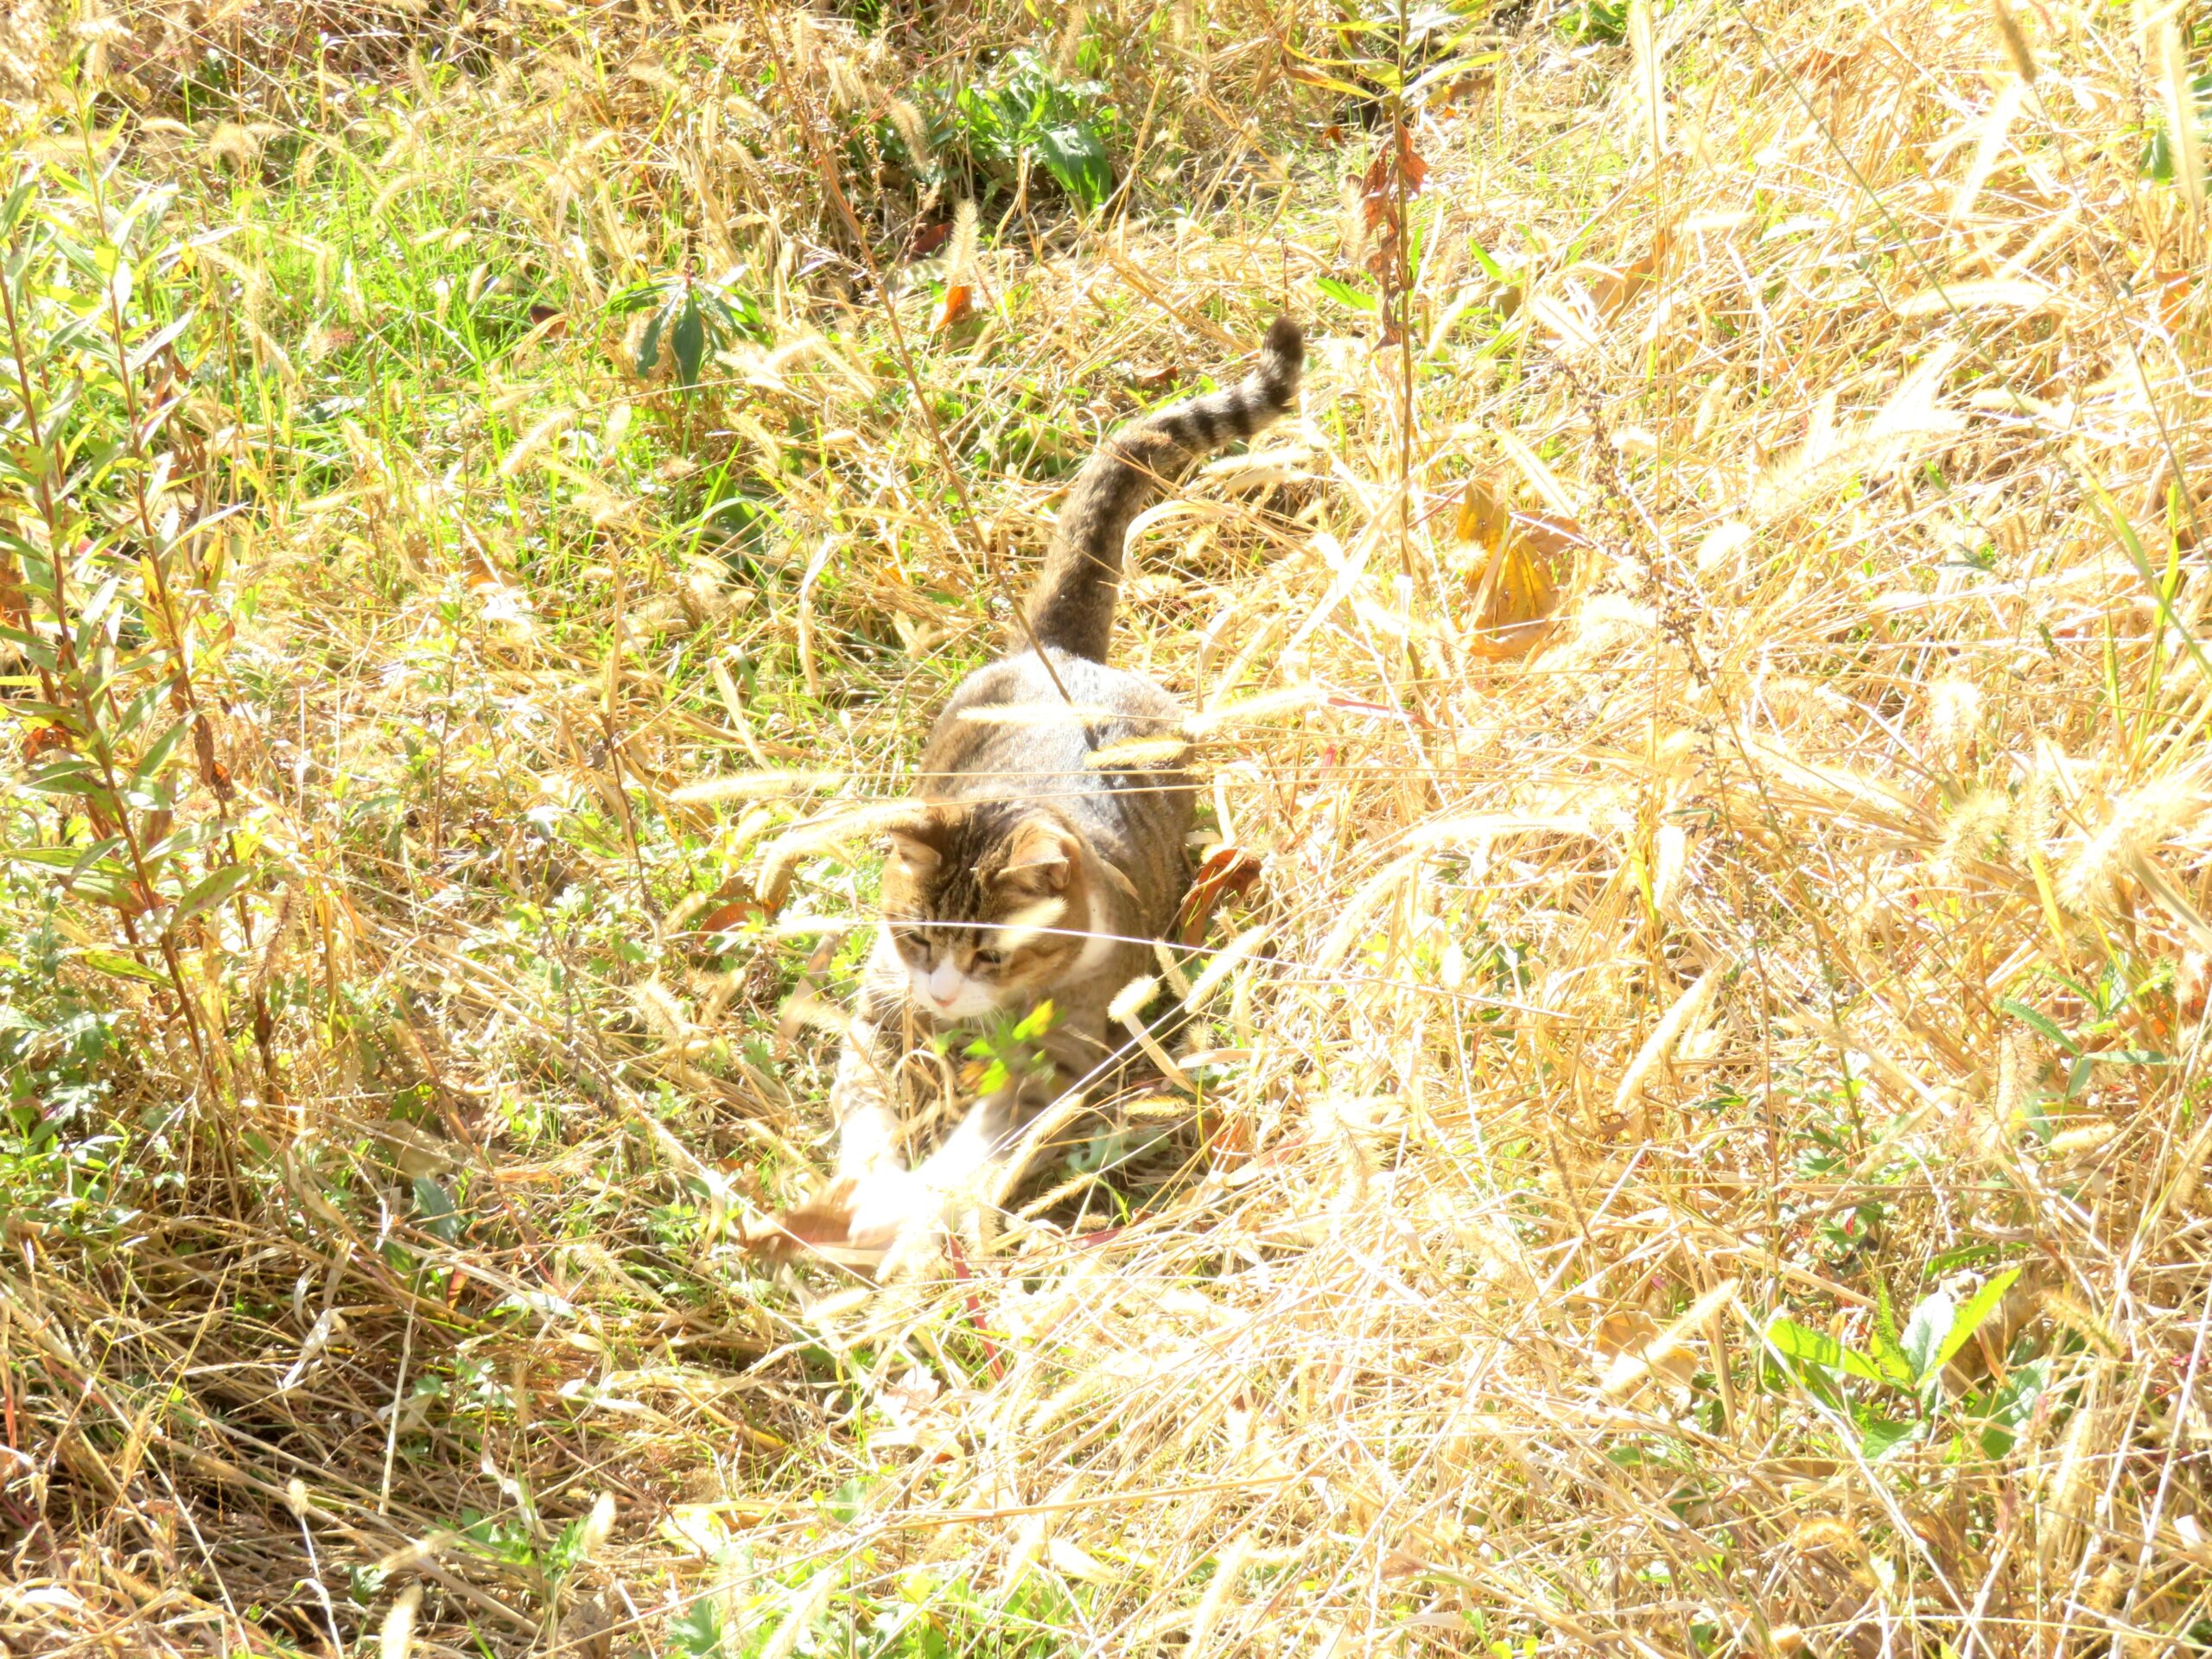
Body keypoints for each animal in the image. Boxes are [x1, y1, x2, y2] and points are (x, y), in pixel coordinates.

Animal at [804, 318, 1300, 1265]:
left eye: (990, 955)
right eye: (919, 939)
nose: (942, 995)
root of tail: (1061, 653)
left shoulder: (1060, 1059)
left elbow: (984, 1138)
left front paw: (910, 1213)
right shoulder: (877, 1009)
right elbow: (864, 1102)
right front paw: (866, 1191)